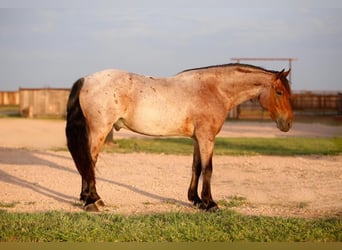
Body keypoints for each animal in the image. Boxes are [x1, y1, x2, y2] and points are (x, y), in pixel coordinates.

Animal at [66, 62, 294, 211]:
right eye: (280, 92)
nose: (288, 124)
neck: (214, 89)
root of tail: (86, 79)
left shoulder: (197, 139)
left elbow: (196, 167)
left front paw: (196, 200)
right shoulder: (206, 138)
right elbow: (208, 169)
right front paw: (210, 204)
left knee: (87, 163)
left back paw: (90, 199)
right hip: (99, 130)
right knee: (89, 161)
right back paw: (92, 201)